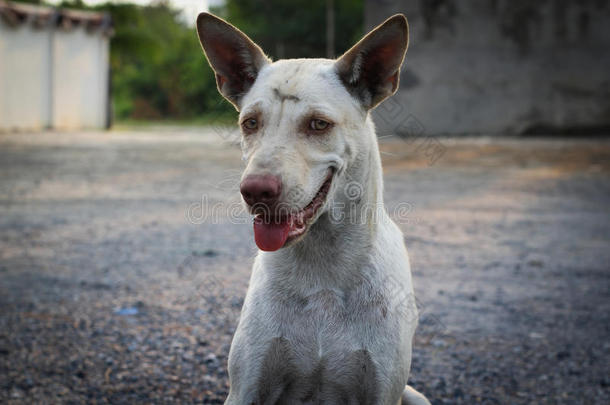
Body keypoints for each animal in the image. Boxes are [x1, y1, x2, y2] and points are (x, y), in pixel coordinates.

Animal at [197, 11, 430, 404]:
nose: (255, 190)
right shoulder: (246, 387)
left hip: (414, 395)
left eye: (318, 124)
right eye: (250, 123)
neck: (322, 268)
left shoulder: (382, 388)